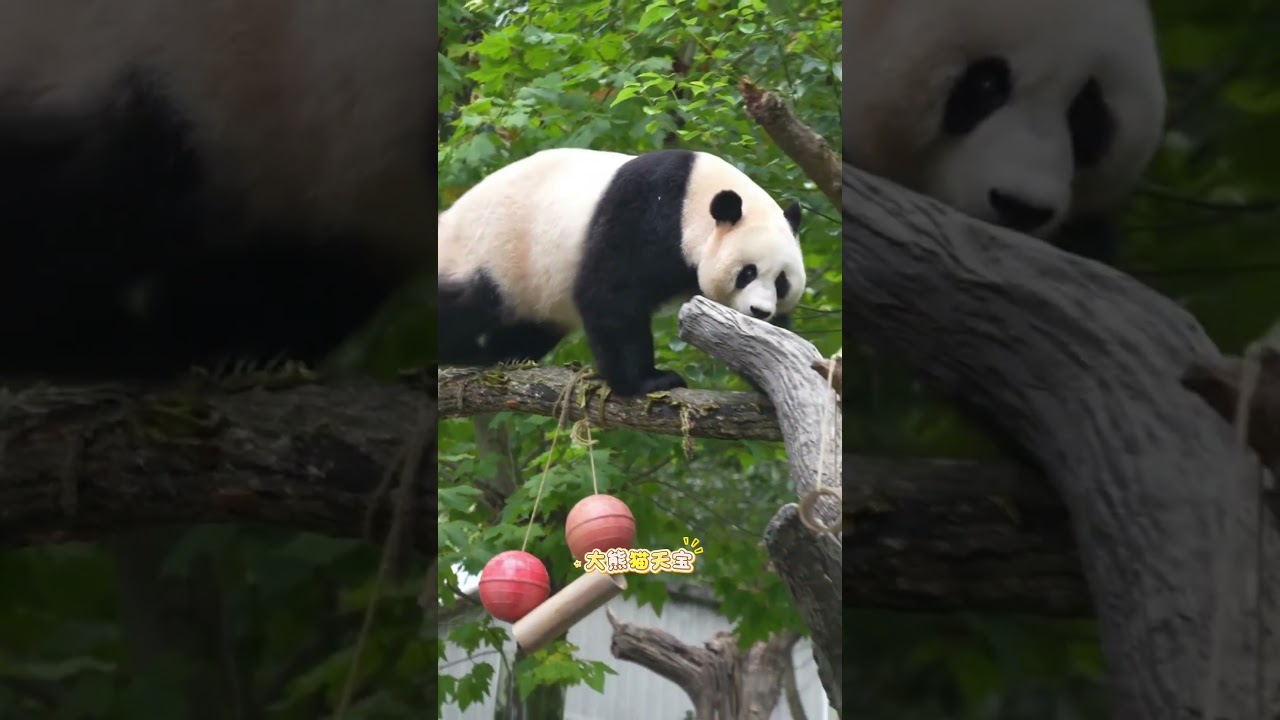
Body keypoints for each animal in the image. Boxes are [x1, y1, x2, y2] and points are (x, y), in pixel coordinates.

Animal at [437, 148, 806, 397]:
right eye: (747, 272)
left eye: (781, 282)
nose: (760, 311)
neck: (694, 197)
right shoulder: (646, 212)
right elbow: (612, 294)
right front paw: (648, 381)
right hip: (493, 252)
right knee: (468, 302)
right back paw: (464, 351)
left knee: (533, 325)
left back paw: (508, 353)